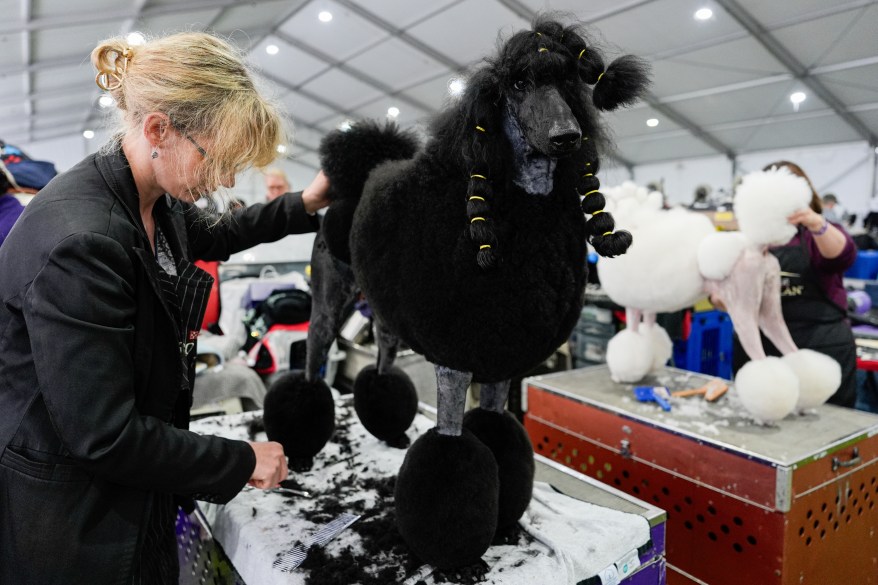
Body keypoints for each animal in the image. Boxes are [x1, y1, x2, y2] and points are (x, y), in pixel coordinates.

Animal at [264, 17, 648, 564]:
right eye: (518, 84)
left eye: (568, 81)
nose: (567, 137)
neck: (522, 210)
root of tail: (356, 180)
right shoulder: (454, 357)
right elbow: (450, 450)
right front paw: (450, 549)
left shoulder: (501, 358)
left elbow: (497, 428)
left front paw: (506, 520)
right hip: (331, 288)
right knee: (314, 353)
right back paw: (299, 446)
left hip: (383, 308)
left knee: (383, 355)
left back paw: (390, 427)